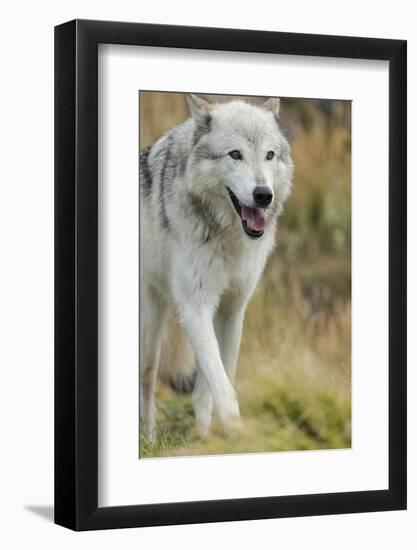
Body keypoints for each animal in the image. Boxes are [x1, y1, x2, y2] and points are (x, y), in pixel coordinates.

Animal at [140, 94, 292, 440]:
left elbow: (214, 383)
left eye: (269, 155)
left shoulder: (233, 308)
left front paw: (207, 437)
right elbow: (223, 389)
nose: (263, 195)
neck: (228, 238)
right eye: (235, 154)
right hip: (151, 328)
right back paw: (149, 439)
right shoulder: (196, 308)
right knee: (147, 380)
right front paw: (236, 436)